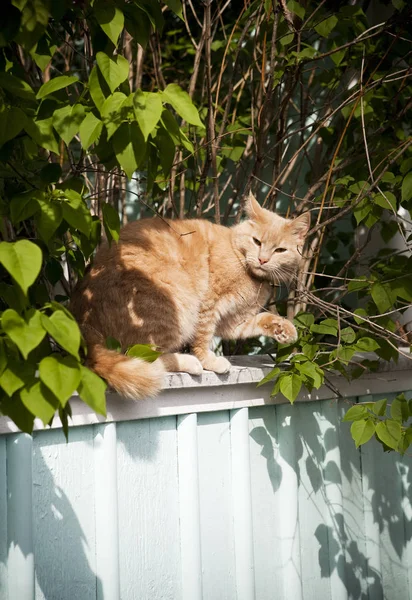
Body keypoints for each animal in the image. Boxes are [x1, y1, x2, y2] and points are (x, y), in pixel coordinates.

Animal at [71, 193, 308, 398]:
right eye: (257, 241)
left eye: (280, 250)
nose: (262, 260)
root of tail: (83, 322)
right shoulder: (209, 306)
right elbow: (203, 338)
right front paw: (208, 361)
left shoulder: (234, 321)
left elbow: (261, 319)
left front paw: (284, 329)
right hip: (174, 305)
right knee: (141, 357)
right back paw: (189, 362)